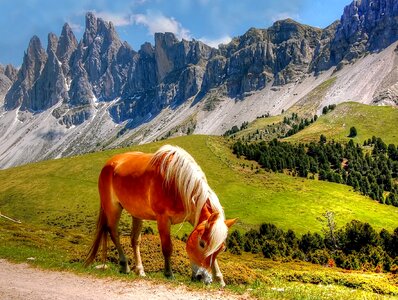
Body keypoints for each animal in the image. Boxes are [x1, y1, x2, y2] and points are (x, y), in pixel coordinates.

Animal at [82, 144, 235, 288]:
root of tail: (110, 163)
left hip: (137, 213)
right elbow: (167, 247)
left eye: (222, 248)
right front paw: (168, 274)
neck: (176, 182)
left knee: (135, 240)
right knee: (114, 233)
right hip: (113, 208)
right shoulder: (163, 219)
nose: (203, 278)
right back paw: (124, 265)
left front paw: (220, 280)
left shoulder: (194, 218)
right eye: (201, 244)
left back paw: (140, 270)